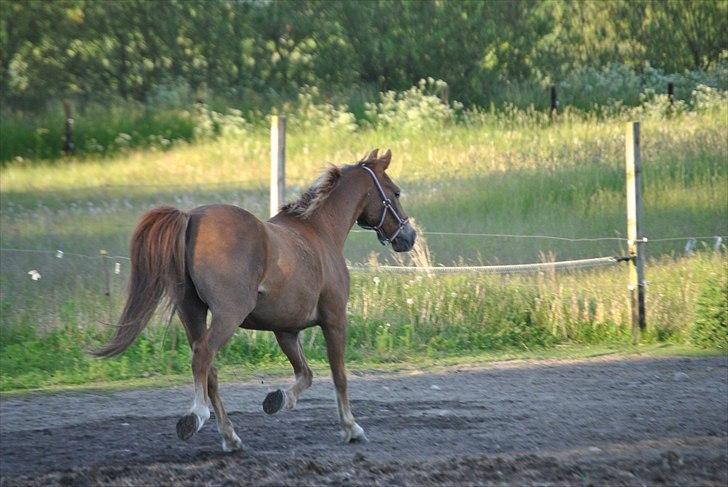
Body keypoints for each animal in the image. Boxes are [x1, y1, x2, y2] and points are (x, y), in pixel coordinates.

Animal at [93, 149, 416, 451]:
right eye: (396, 192)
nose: (409, 236)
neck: (319, 232)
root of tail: (190, 217)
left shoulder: (286, 330)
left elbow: (306, 374)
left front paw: (278, 399)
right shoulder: (334, 319)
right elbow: (339, 375)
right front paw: (351, 428)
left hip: (192, 313)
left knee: (210, 370)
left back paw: (231, 437)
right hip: (228, 315)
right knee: (203, 355)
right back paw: (196, 416)